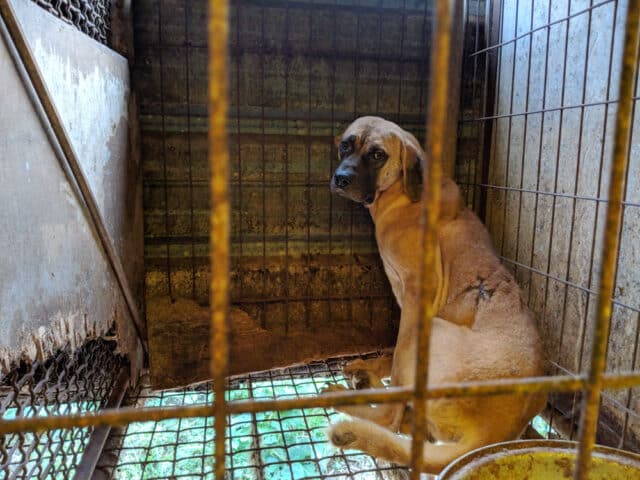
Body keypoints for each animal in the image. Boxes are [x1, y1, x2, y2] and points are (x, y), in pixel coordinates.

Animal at [324, 116, 544, 472]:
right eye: (346, 144)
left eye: (377, 155)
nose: (341, 179)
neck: (402, 193)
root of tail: (496, 432)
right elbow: (394, 354)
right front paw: (374, 367)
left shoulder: (417, 296)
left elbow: (399, 352)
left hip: (433, 329)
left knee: (390, 418)